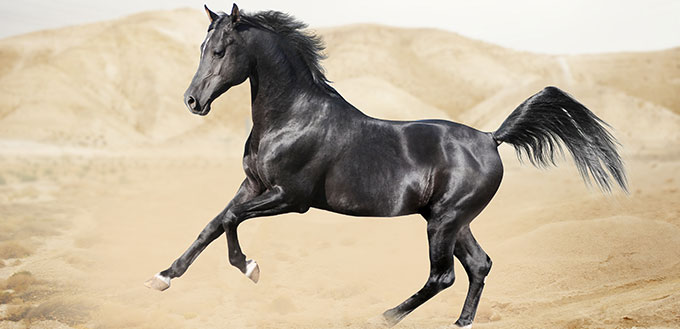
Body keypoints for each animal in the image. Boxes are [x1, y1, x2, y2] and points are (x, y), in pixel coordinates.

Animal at [143, 3, 628, 326]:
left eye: (220, 50)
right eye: (202, 46)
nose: (192, 101)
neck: (292, 117)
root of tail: (492, 138)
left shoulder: (290, 198)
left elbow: (231, 221)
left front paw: (250, 268)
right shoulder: (252, 186)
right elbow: (213, 223)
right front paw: (162, 277)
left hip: (444, 221)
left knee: (443, 276)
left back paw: (385, 315)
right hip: (453, 220)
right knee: (480, 265)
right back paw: (460, 322)